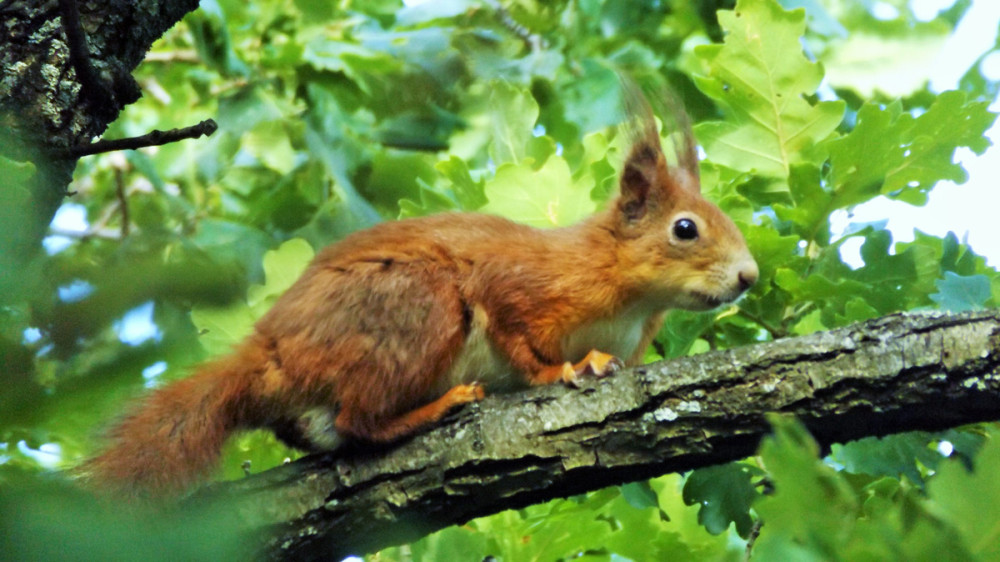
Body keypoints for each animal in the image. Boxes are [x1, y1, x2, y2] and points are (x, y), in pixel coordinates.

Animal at [84, 89, 756, 496]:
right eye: (685, 229)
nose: (748, 276)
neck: (629, 295)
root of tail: (273, 356)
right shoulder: (519, 284)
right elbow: (518, 339)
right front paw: (564, 369)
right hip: (420, 306)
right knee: (358, 421)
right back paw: (442, 405)